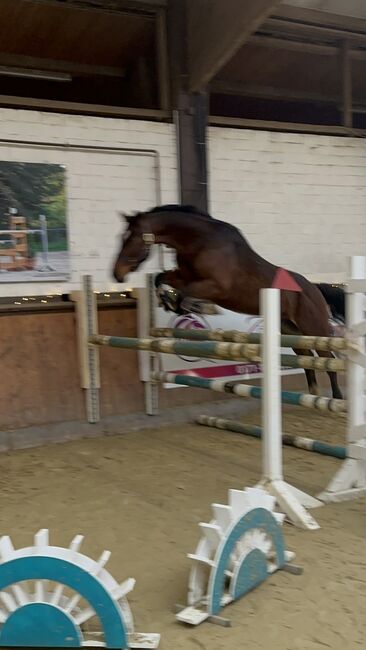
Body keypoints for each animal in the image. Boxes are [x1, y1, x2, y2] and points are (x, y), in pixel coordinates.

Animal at [111, 202, 344, 398]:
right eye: (121, 238)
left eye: (132, 238)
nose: (117, 274)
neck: (199, 241)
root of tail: (314, 288)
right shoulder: (182, 275)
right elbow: (161, 278)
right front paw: (168, 301)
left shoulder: (216, 287)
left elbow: (186, 293)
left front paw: (192, 306)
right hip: (290, 329)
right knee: (306, 356)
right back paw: (313, 394)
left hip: (313, 327)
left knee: (327, 359)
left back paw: (336, 399)